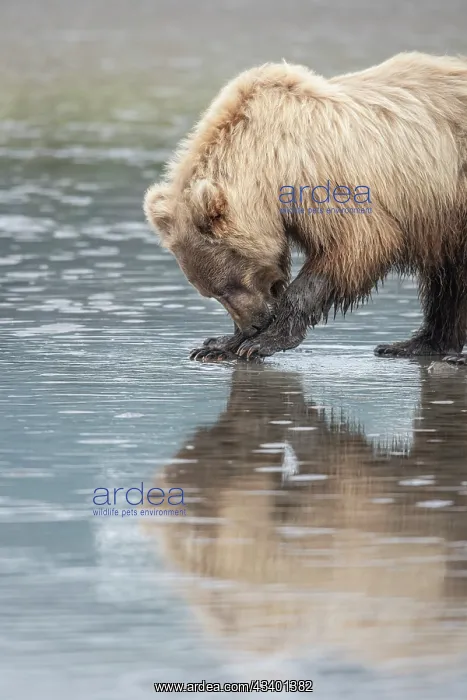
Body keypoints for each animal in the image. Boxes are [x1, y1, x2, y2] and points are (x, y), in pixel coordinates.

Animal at [144, 52, 467, 363]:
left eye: (227, 286)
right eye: (211, 293)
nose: (252, 325)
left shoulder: (321, 179)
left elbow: (354, 245)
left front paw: (264, 341)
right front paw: (218, 345)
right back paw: (415, 344)